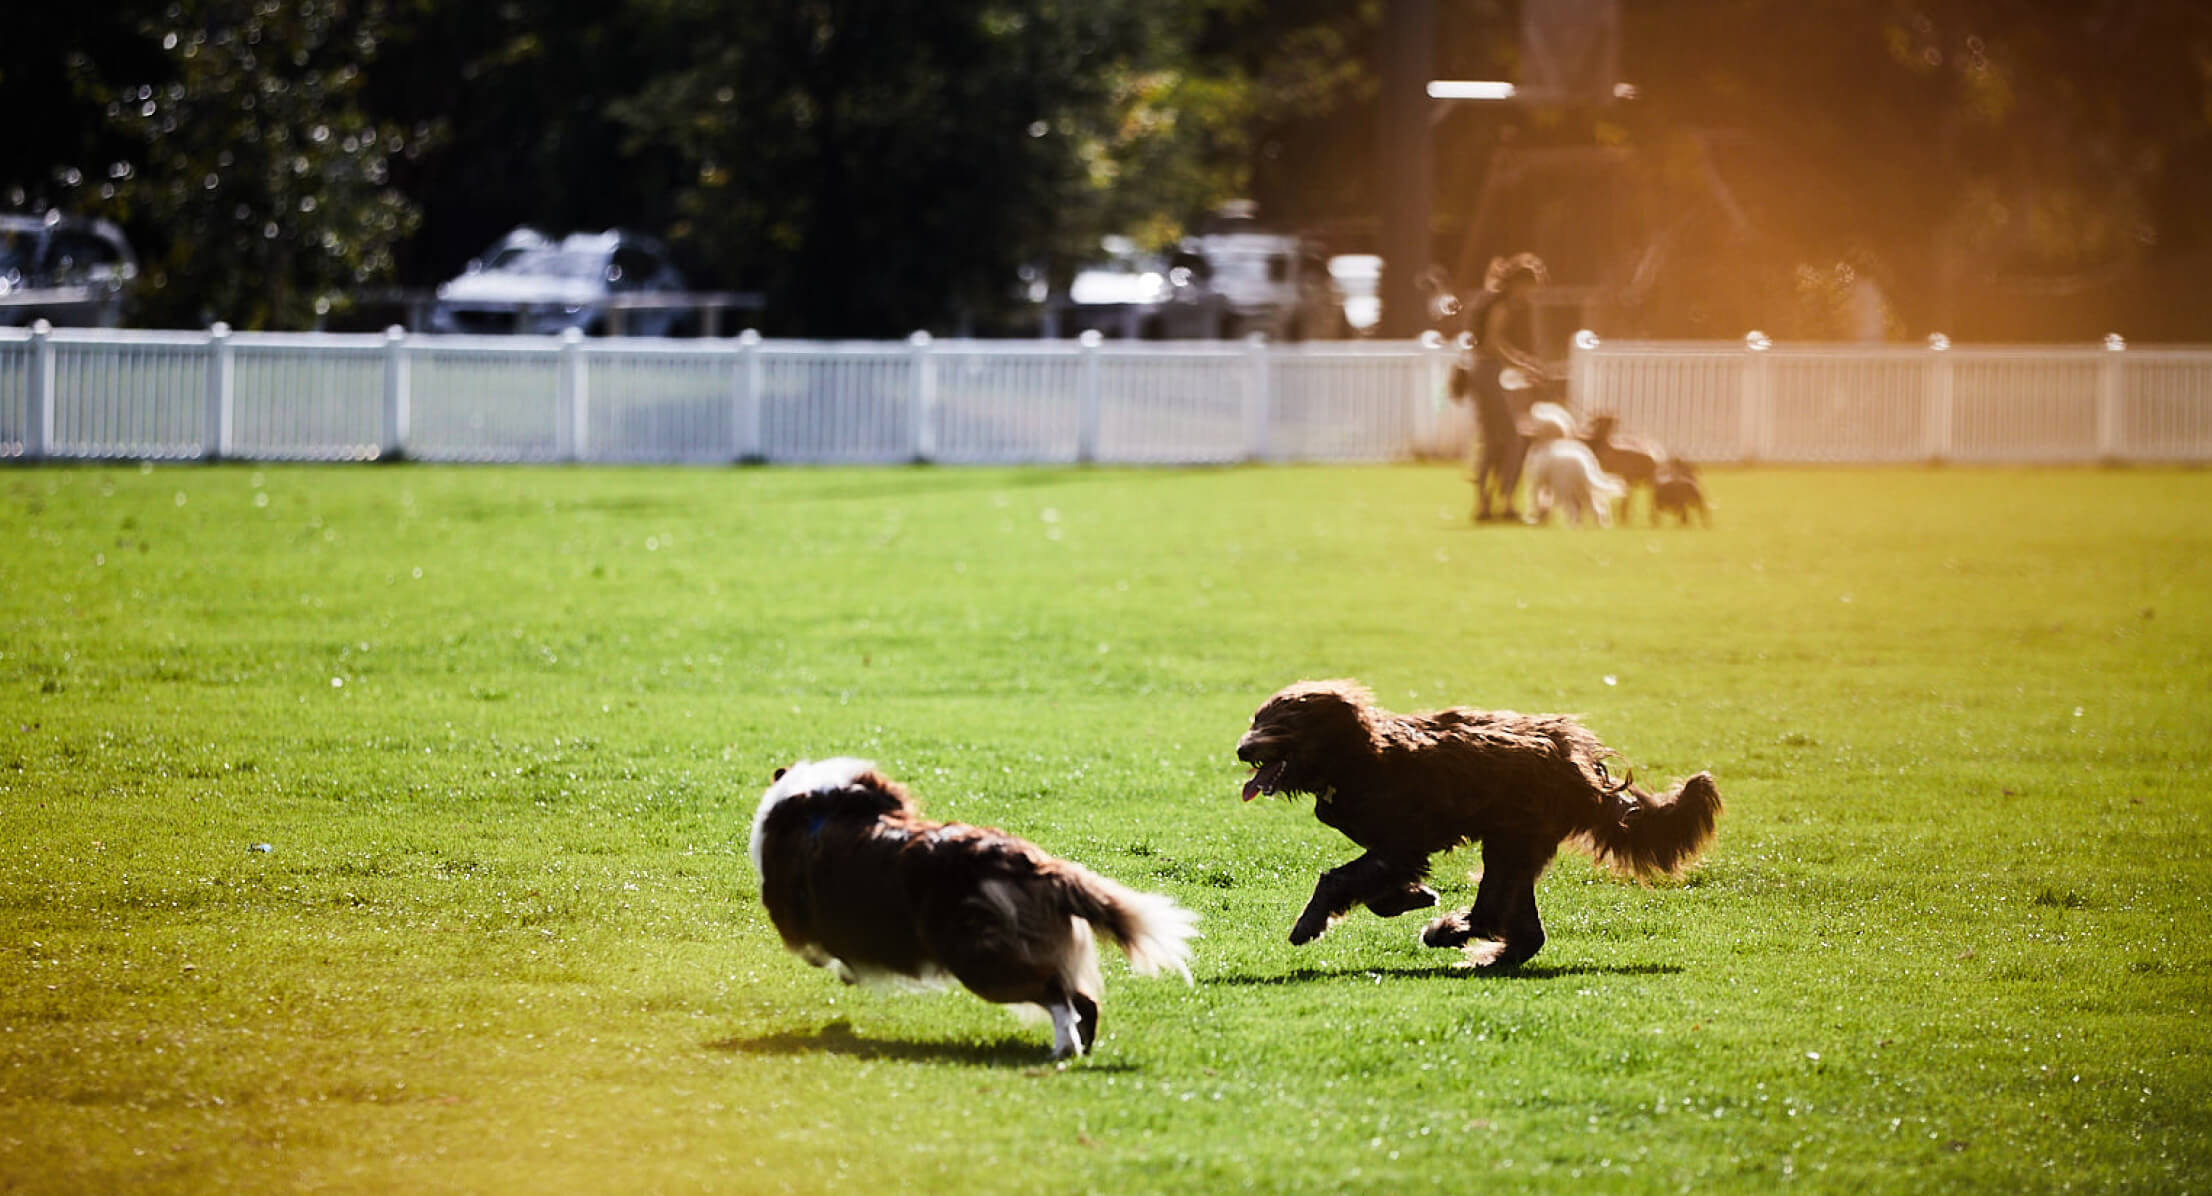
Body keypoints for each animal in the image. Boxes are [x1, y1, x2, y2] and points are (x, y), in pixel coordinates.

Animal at [747, 760, 1203, 1056]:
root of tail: (1032, 863)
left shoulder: (796, 924)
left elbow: (817, 950)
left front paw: (845, 972)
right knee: (1083, 1001)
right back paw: (1077, 1051)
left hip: (981, 960)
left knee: (1057, 996)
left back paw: (1061, 1048)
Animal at [1238, 680, 1716, 968]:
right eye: (1257, 718)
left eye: (1281, 723)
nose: (1242, 749)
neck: (1358, 757)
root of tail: (1581, 771)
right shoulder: (1395, 852)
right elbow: (1373, 890)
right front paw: (1411, 897)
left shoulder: (1401, 844)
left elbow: (1339, 880)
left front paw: (1308, 924)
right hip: (1517, 847)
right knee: (1526, 930)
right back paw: (1487, 954)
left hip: (1511, 842)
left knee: (1491, 913)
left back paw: (1450, 933)